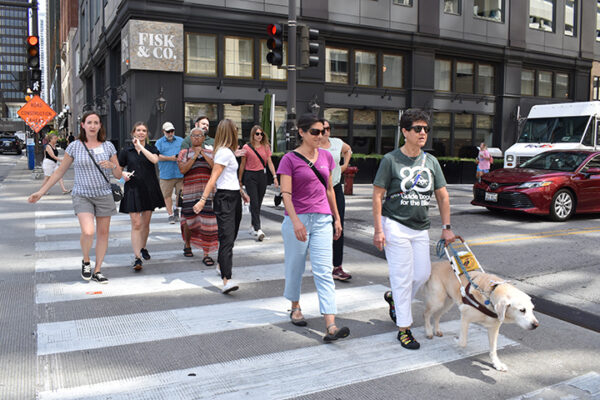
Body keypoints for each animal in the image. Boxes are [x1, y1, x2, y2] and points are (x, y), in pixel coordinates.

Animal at [422, 238, 540, 372]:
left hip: (447, 302)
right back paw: (429, 331)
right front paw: (456, 340)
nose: (536, 325)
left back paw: (436, 330)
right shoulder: (465, 317)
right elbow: (463, 342)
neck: (491, 295)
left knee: (436, 316)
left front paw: (497, 364)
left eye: (532, 309)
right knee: (426, 313)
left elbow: (493, 349)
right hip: (437, 300)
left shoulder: (494, 328)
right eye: (522, 310)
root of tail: (434, 264)